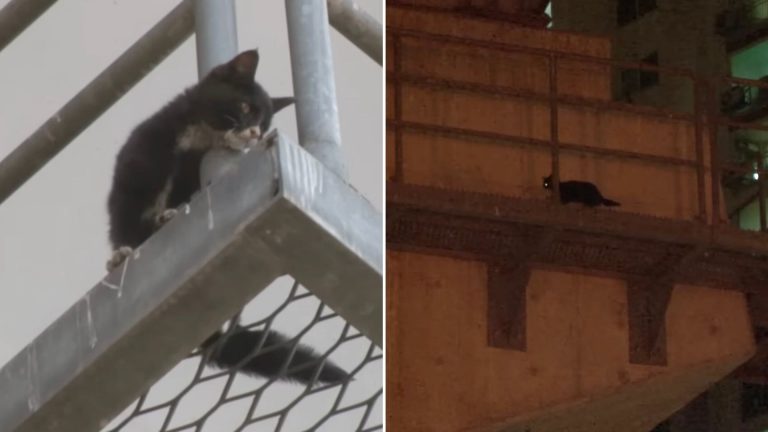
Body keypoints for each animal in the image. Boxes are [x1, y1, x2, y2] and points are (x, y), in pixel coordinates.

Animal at [106, 49, 346, 384]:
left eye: (265, 123)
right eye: (245, 107)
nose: (256, 132)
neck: (192, 142)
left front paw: (169, 214)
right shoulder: (134, 172)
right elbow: (124, 220)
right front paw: (121, 255)